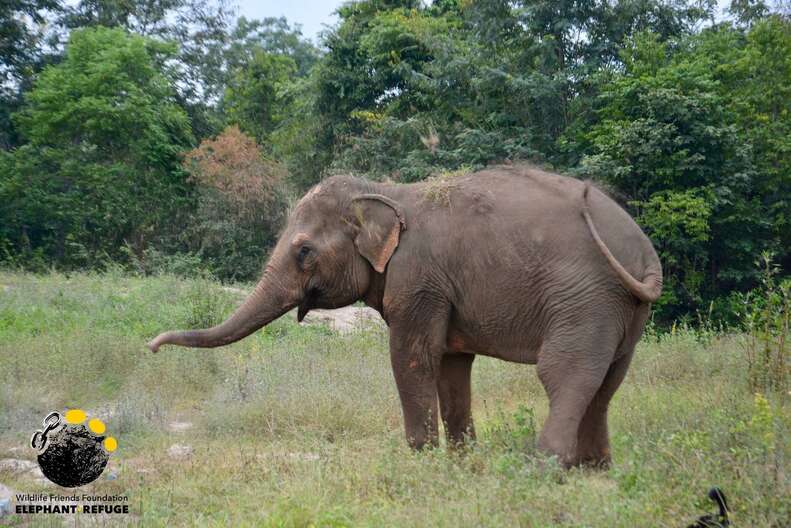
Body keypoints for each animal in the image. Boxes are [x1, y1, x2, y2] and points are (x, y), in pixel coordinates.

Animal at [148, 164, 664, 466]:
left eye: (304, 251)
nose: (151, 347)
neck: (385, 190)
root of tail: (644, 253)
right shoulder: (444, 290)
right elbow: (452, 366)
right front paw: (462, 461)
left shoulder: (418, 279)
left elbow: (412, 356)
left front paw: (421, 461)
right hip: (623, 309)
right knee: (608, 379)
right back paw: (594, 469)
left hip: (585, 298)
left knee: (565, 372)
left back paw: (546, 466)